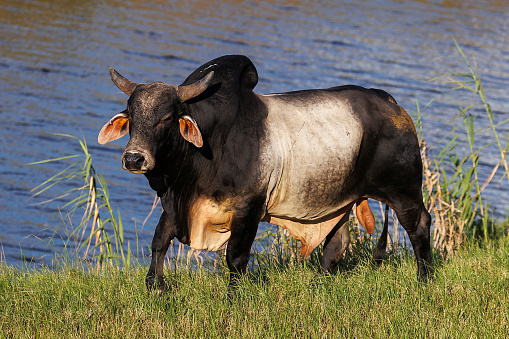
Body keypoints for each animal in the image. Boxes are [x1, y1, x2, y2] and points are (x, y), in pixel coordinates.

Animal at [97, 55, 430, 294]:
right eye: (130, 115)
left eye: (166, 118)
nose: (134, 158)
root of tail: (390, 102)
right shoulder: (176, 203)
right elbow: (159, 240)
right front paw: (156, 287)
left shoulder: (248, 208)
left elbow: (235, 257)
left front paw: (233, 297)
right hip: (339, 202)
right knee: (337, 244)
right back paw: (316, 285)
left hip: (404, 192)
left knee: (420, 226)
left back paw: (424, 278)